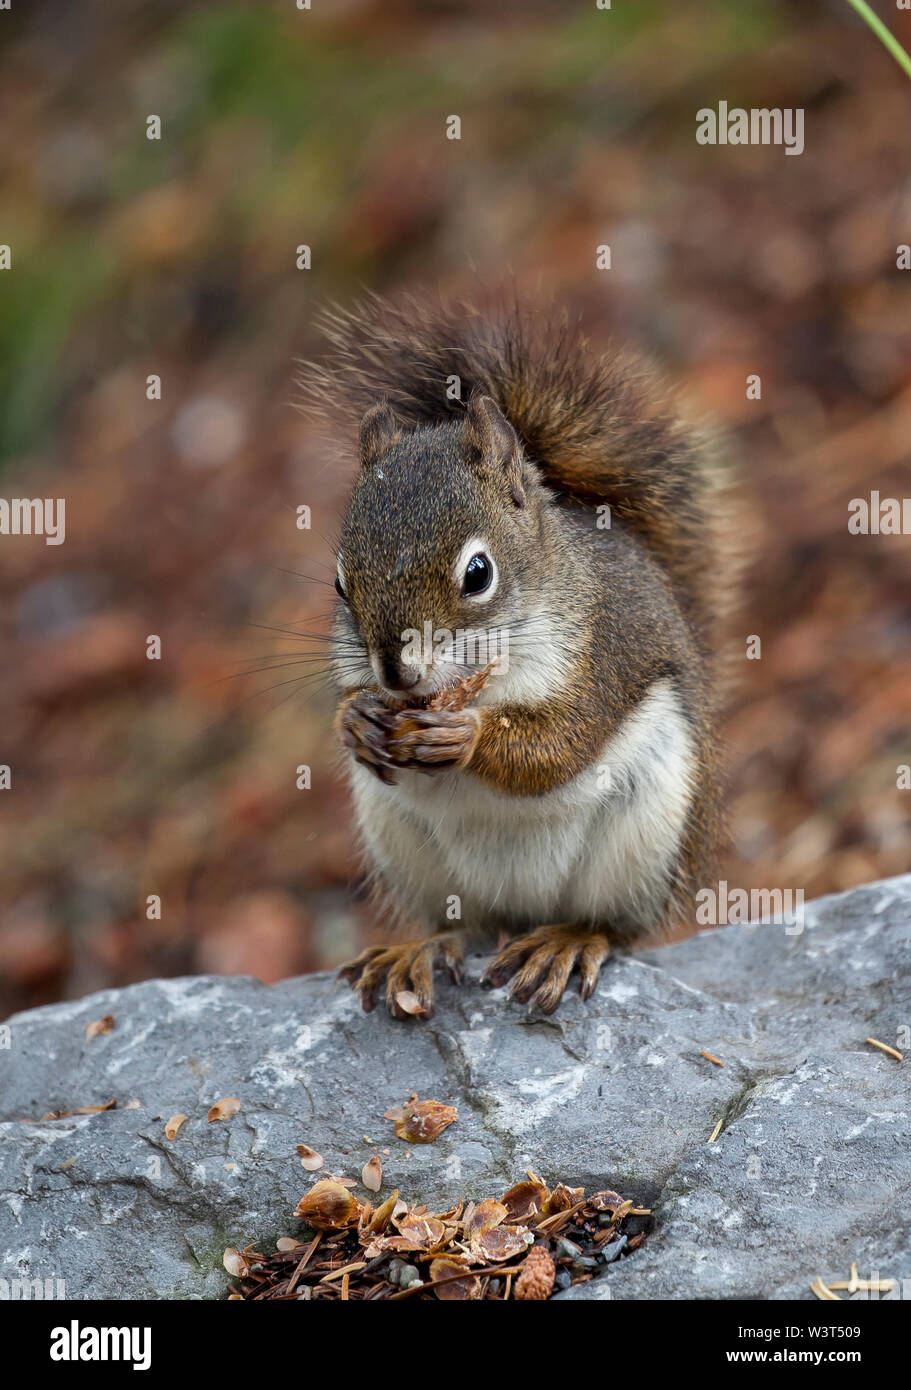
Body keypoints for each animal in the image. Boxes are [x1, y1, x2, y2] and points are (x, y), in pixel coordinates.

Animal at [300, 292, 738, 1019]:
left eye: (478, 574)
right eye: (338, 584)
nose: (395, 672)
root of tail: (523, 911)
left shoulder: (602, 653)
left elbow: (562, 743)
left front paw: (466, 735)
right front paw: (356, 720)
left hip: (646, 832)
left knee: (613, 926)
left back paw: (566, 942)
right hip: (406, 847)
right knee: (464, 926)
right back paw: (419, 951)